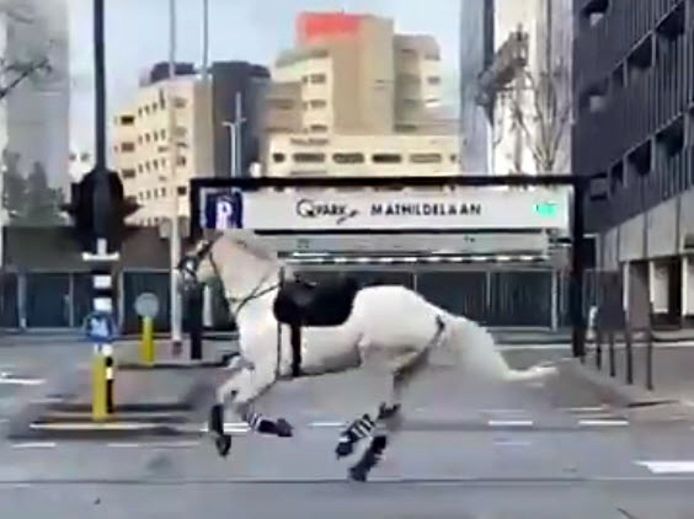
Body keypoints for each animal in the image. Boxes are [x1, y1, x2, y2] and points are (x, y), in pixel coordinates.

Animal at [179, 232, 560, 484]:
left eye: (196, 251)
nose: (182, 281)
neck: (261, 300)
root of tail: (432, 312)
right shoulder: (254, 369)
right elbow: (224, 393)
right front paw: (223, 438)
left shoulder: (269, 372)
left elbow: (239, 402)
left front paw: (266, 430)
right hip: (408, 368)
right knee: (393, 415)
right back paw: (361, 464)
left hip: (378, 359)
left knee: (383, 408)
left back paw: (348, 444)